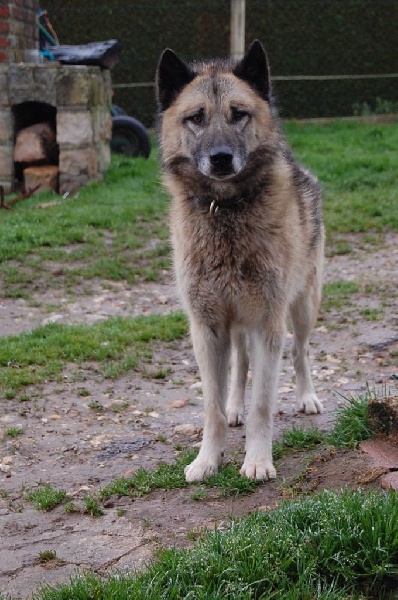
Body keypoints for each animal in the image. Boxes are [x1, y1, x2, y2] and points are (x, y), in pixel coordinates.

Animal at [155, 39, 324, 482]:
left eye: (239, 114)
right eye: (196, 117)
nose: (220, 158)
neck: (226, 211)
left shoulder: (268, 322)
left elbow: (263, 404)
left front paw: (258, 461)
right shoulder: (207, 327)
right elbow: (212, 407)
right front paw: (207, 460)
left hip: (303, 307)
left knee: (299, 353)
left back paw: (308, 397)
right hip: (237, 325)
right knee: (240, 364)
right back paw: (235, 407)